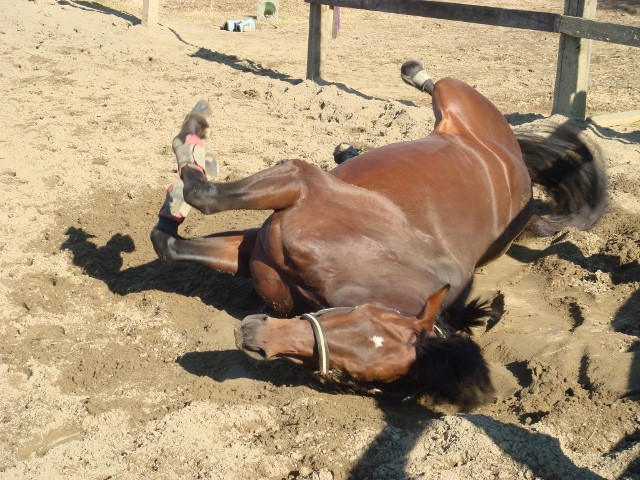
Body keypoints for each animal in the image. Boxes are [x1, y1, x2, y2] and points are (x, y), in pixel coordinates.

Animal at [150, 61, 607, 408]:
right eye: (359, 318)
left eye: (352, 370)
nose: (252, 334)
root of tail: (514, 161)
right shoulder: (295, 189)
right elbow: (188, 216)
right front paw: (192, 139)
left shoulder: (263, 241)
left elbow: (179, 228)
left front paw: (182, 177)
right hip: (455, 96)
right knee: (434, 84)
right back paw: (393, 97)